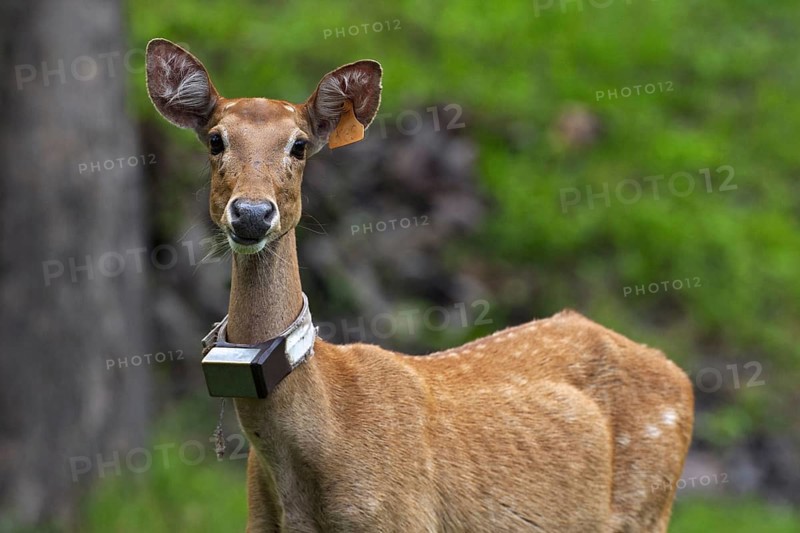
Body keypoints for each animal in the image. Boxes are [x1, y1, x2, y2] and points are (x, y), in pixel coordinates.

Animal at [145, 38, 694, 532]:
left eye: (298, 145)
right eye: (215, 140)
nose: (253, 213)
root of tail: (680, 377)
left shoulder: (403, 518)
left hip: (646, 509)